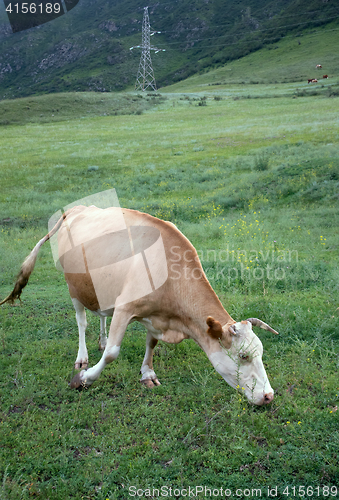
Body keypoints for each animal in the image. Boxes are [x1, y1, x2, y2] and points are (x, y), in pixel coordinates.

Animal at [0, 205, 278, 404]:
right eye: (243, 356)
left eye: (261, 352)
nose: (268, 396)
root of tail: (78, 208)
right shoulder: (125, 308)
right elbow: (112, 353)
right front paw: (83, 379)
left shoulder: (155, 315)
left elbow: (150, 343)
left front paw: (148, 374)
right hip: (74, 288)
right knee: (81, 321)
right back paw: (82, 358)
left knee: (101, 314)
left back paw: (100, 339)